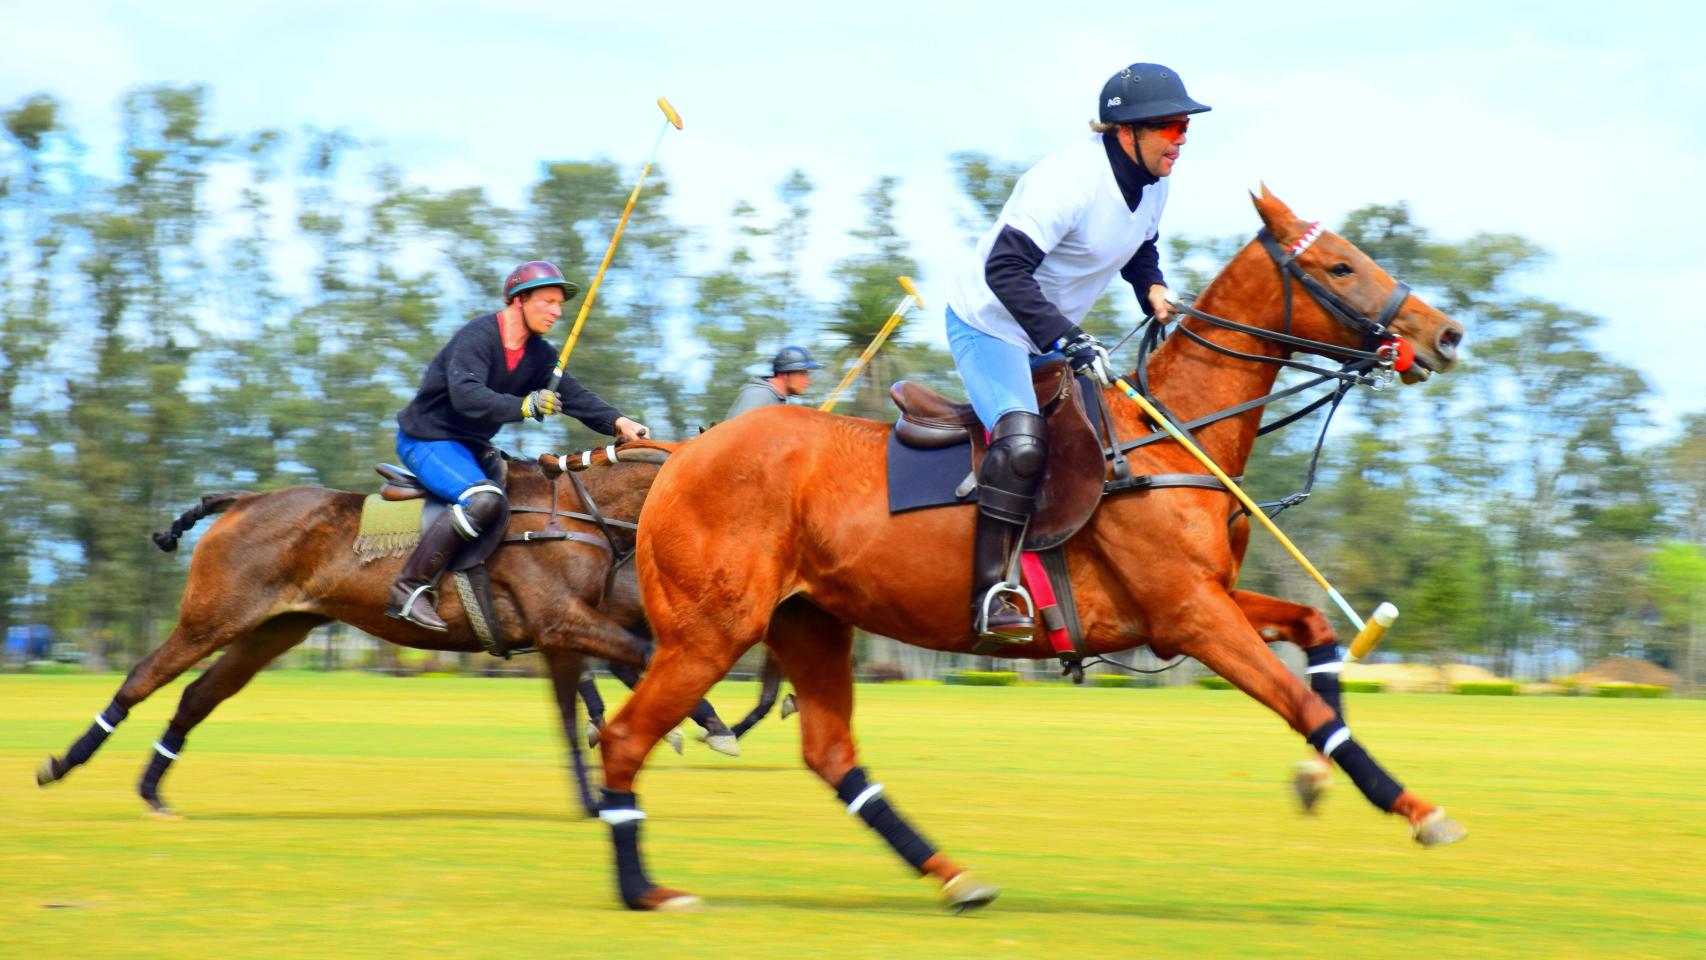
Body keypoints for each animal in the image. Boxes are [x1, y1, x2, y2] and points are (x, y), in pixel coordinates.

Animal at [597, 190, 1467, 913]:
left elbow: (1317, 633)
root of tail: (680, 456)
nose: (1446, 333)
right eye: (1340, 264)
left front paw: (1317, 781)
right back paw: (645, 890)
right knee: (626, 736)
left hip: (809, 622)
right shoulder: (1190, 614)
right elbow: (1304, 703)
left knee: (830, 751)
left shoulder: (1196, 601)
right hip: (711, 630)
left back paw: (955, 877)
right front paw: (1423, 812)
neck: (1166, 436)